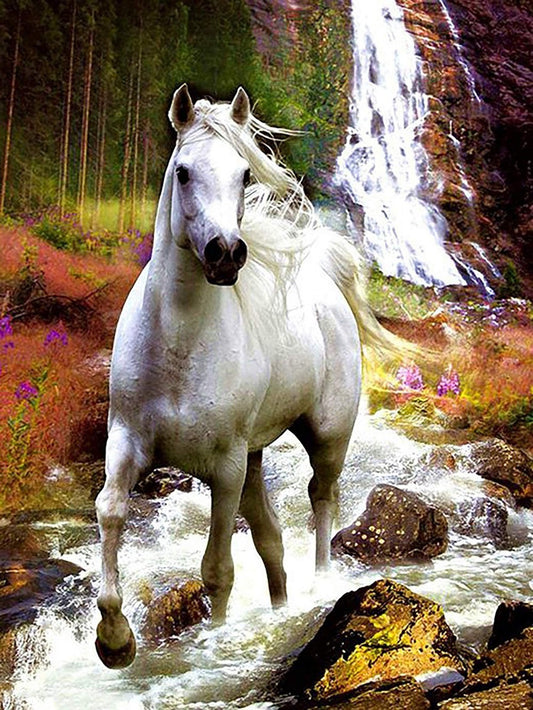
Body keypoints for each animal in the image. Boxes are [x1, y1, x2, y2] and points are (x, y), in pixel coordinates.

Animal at [95, 84, 389, 669]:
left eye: (245, 174)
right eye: (184, 171)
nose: (226, 253)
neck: (179, 347)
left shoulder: (224, 467)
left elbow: (218, 570)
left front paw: (214, 642)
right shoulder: (127, 441)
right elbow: (111, 511)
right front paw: (114, 641)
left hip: (325, 438)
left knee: (322, 500)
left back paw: (322, 585)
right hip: (254, 457)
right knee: (271, 539)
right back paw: (281, 606)